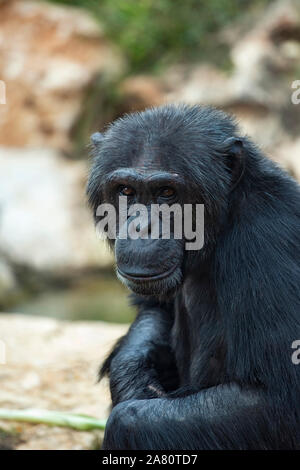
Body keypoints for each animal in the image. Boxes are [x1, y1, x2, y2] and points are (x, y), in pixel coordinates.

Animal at [86, 104, 300, 450]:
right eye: (126, 191)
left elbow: (274, 399)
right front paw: (132, 375)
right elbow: (154, 307)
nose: (141, 226)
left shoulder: (270, 243)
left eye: (167, 192)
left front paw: (129, 409)